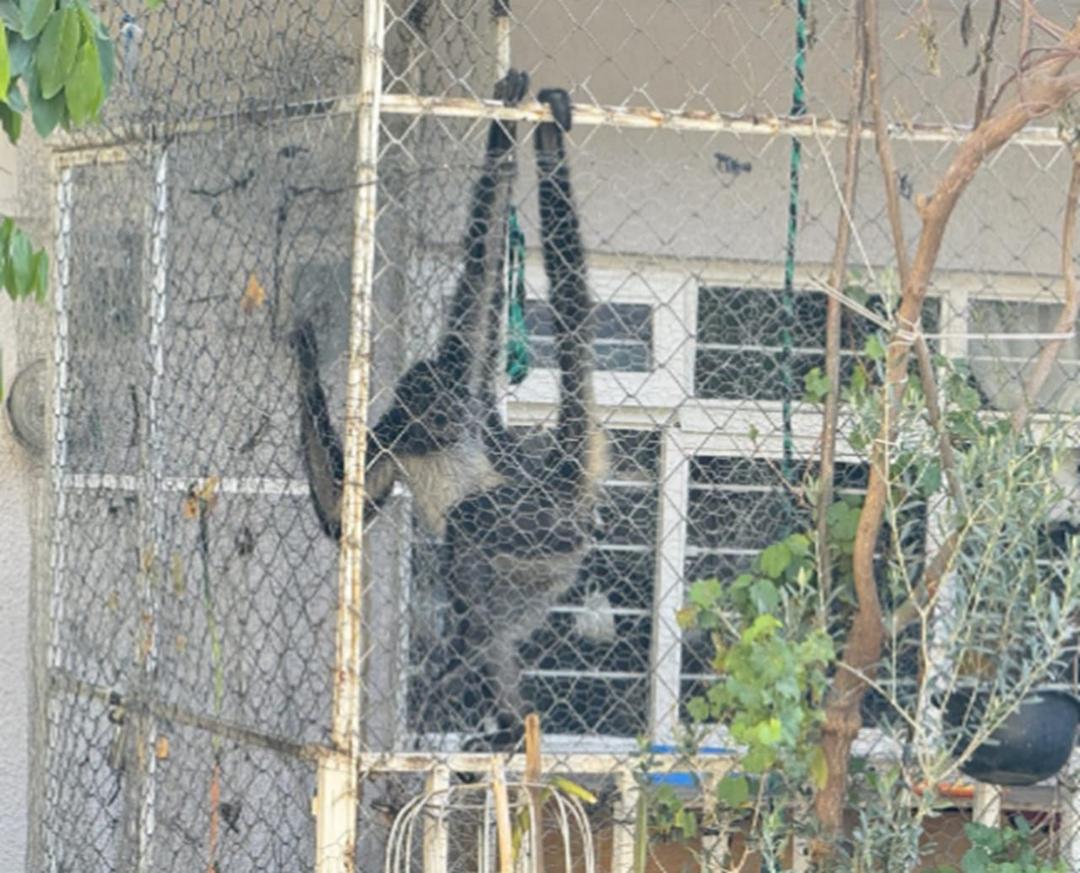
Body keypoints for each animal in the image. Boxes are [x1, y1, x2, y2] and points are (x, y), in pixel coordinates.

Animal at [289, 68, 531, 540]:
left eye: (453, 404)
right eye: (439, 409)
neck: (431, 437)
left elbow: (480, 266)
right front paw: (307, 365)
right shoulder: (390, 436)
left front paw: (502, 133)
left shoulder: (461, 374)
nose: (455, 417)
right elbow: (338, 511)